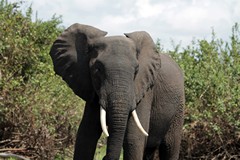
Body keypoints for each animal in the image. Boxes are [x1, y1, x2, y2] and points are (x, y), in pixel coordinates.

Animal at [48, 23, 184, 159]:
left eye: (136, 70)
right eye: (97, 69)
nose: (104, 157)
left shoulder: (144, 91)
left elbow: (133, 138)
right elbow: (86, 134)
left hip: (179, 105)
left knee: (170, 146)